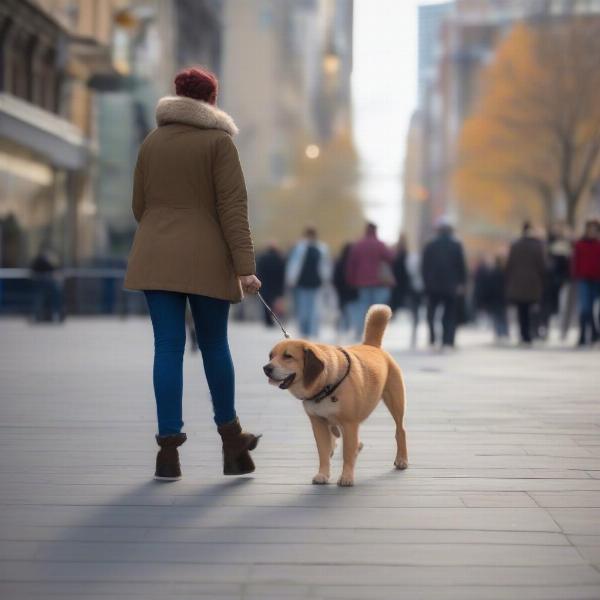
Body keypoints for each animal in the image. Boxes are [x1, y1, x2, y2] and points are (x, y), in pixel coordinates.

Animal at [264, 304, 408, 488]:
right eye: (271, 356)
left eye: (287, 356)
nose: (266, 368)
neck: (325, 386)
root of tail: (372, 346)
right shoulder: (318, 423)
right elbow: (323, 452)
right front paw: (323, 474)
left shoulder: (349, 424)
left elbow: (347, 453)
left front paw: (346, 476)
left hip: (396, 402)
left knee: (400, 430)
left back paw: (402, 459)